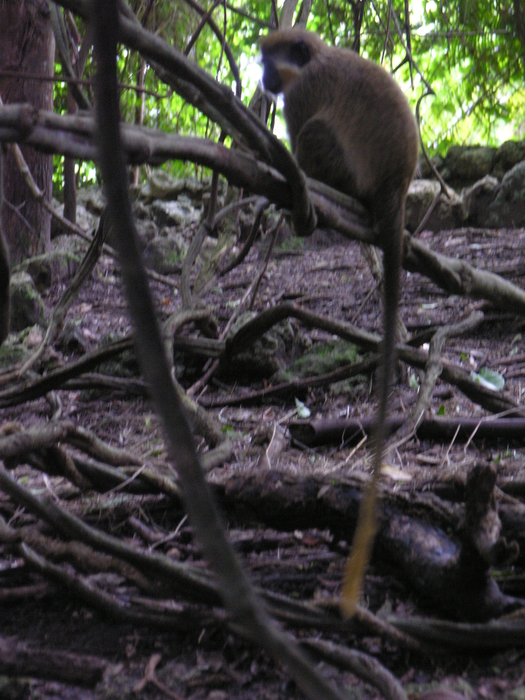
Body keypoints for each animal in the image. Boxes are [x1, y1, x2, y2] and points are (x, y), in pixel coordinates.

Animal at [260, 28, 419, 615]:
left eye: (269, 60)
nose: (263, 78)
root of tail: (396, 185)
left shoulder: (304, 91)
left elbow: (303, 124)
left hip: (345, 169)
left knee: (314, 136)